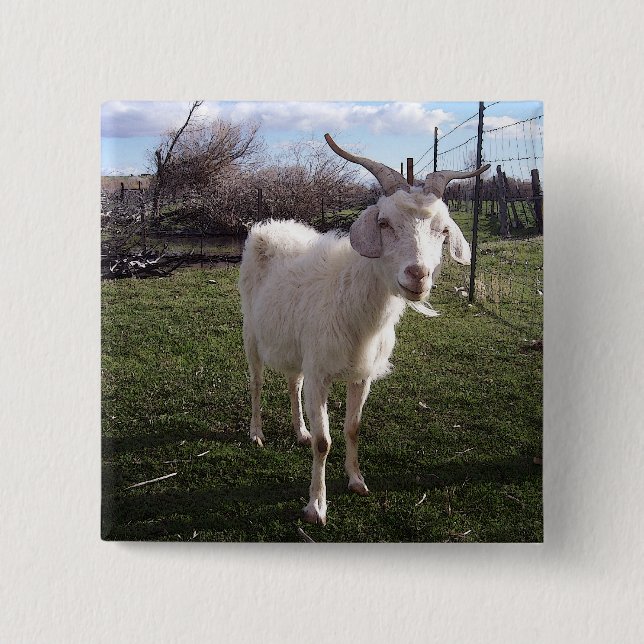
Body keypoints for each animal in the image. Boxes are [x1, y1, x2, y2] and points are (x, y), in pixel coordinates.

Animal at [238, 133, 489, 525]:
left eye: (444, 230)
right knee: (256, 382)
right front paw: (316, 506)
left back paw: (300, 431)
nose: (417, 275)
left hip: (296, 347)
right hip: (251, 332)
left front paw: (356, 480)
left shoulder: (360, 374)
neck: (351, 299)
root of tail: (267, 226)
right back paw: (256, 433)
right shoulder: (321, 373)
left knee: (293, 382)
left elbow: (353, 428)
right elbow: (325, 442)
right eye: (383, 223)